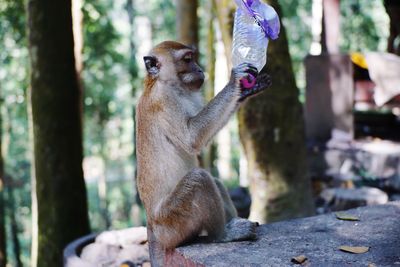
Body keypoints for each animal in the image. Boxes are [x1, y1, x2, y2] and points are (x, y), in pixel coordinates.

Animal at [135, 40, 272, 266]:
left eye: (193, 58)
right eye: (188, 59)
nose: (200, 69)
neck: (162, 82)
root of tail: (152, 225)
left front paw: (246, 89)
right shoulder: (164, 100)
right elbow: (192, 137)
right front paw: (234, 82)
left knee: (214, 182)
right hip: (171, 223)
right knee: (200, 179)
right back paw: (223, 235)